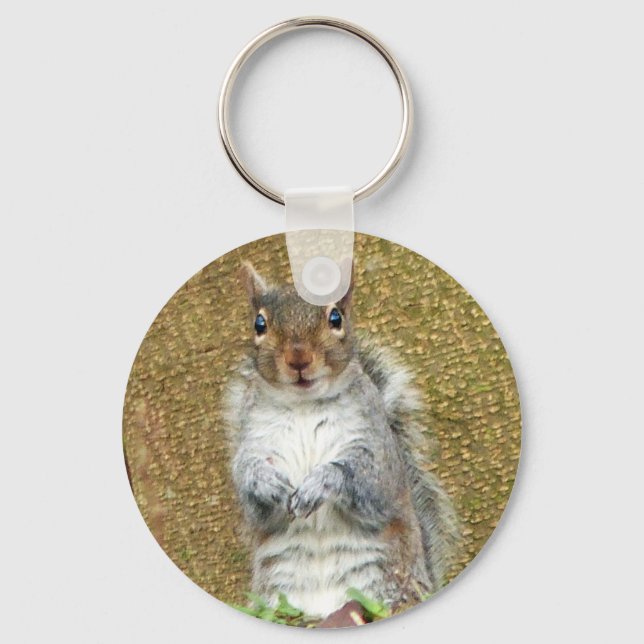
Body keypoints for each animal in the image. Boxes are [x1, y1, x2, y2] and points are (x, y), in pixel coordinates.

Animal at [225, 262, 460, 618]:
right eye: (259, 323)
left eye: (336, 318)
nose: (298, 358)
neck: (305, 404)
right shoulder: (253, 440)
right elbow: (250, 492)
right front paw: (266, 482)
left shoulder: (377, 445)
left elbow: (372, 482)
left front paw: (321, 482)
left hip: (387, 582)